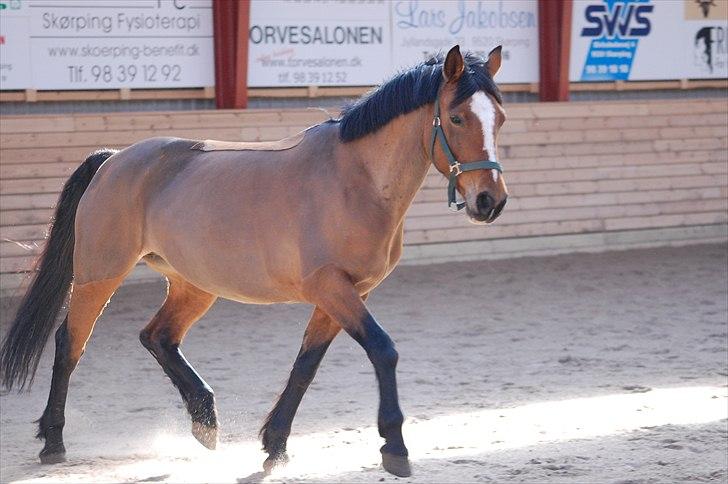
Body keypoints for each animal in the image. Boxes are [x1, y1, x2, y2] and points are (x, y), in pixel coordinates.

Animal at [1, 45, 506, 476]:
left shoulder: (344, 294)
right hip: (98, 275)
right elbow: (383, 349)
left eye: (499, 118)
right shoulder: (332, 287)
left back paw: (205, 420)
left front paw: (275, 444)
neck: (354, 179)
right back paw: (53, 441)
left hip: (195, 285)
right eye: (456, 117)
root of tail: (114, 159)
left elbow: (306, 366)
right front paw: (394, 447)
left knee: (157, 337)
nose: (490, 200)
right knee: (70, 344)